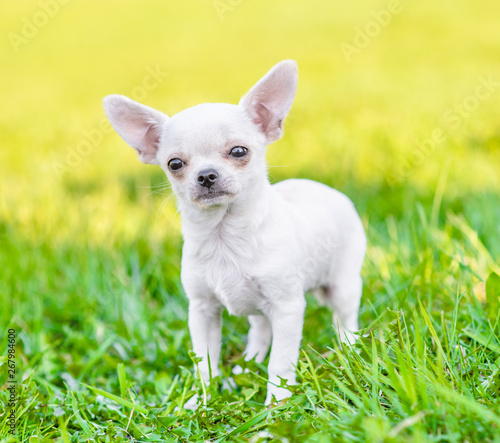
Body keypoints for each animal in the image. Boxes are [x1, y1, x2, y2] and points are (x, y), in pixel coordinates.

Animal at [102, 59, 368, 406]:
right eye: (174, 164)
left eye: (239, 152)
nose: (206, 175)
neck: (224, 235)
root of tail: (326, 189)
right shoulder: (202, 309)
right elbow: (205, 360)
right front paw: (202, 399)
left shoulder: (287, 307)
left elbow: (281, 363)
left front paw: (276, 404)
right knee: (260, 329)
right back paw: (248, 363)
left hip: (343, 285)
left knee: (345, 321)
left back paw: (348, 352)